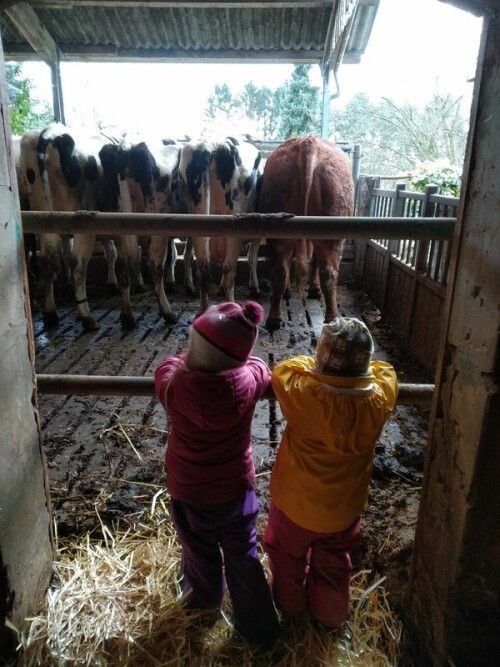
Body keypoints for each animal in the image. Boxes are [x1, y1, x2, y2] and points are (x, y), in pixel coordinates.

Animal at [178, 136, 262, 311]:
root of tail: (213, 144)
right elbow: (252, 257)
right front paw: (255, 288)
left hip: (197, 217)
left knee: (202, 266)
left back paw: (202, 309)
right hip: (234, 226)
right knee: (229, 267)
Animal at [258, 137, 354, 331]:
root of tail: (309, 142)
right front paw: (314, 289)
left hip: (280, 229)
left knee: (280, 270)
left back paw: (274, 318)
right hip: (332, 234)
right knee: (328, 272)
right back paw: (331, 317)